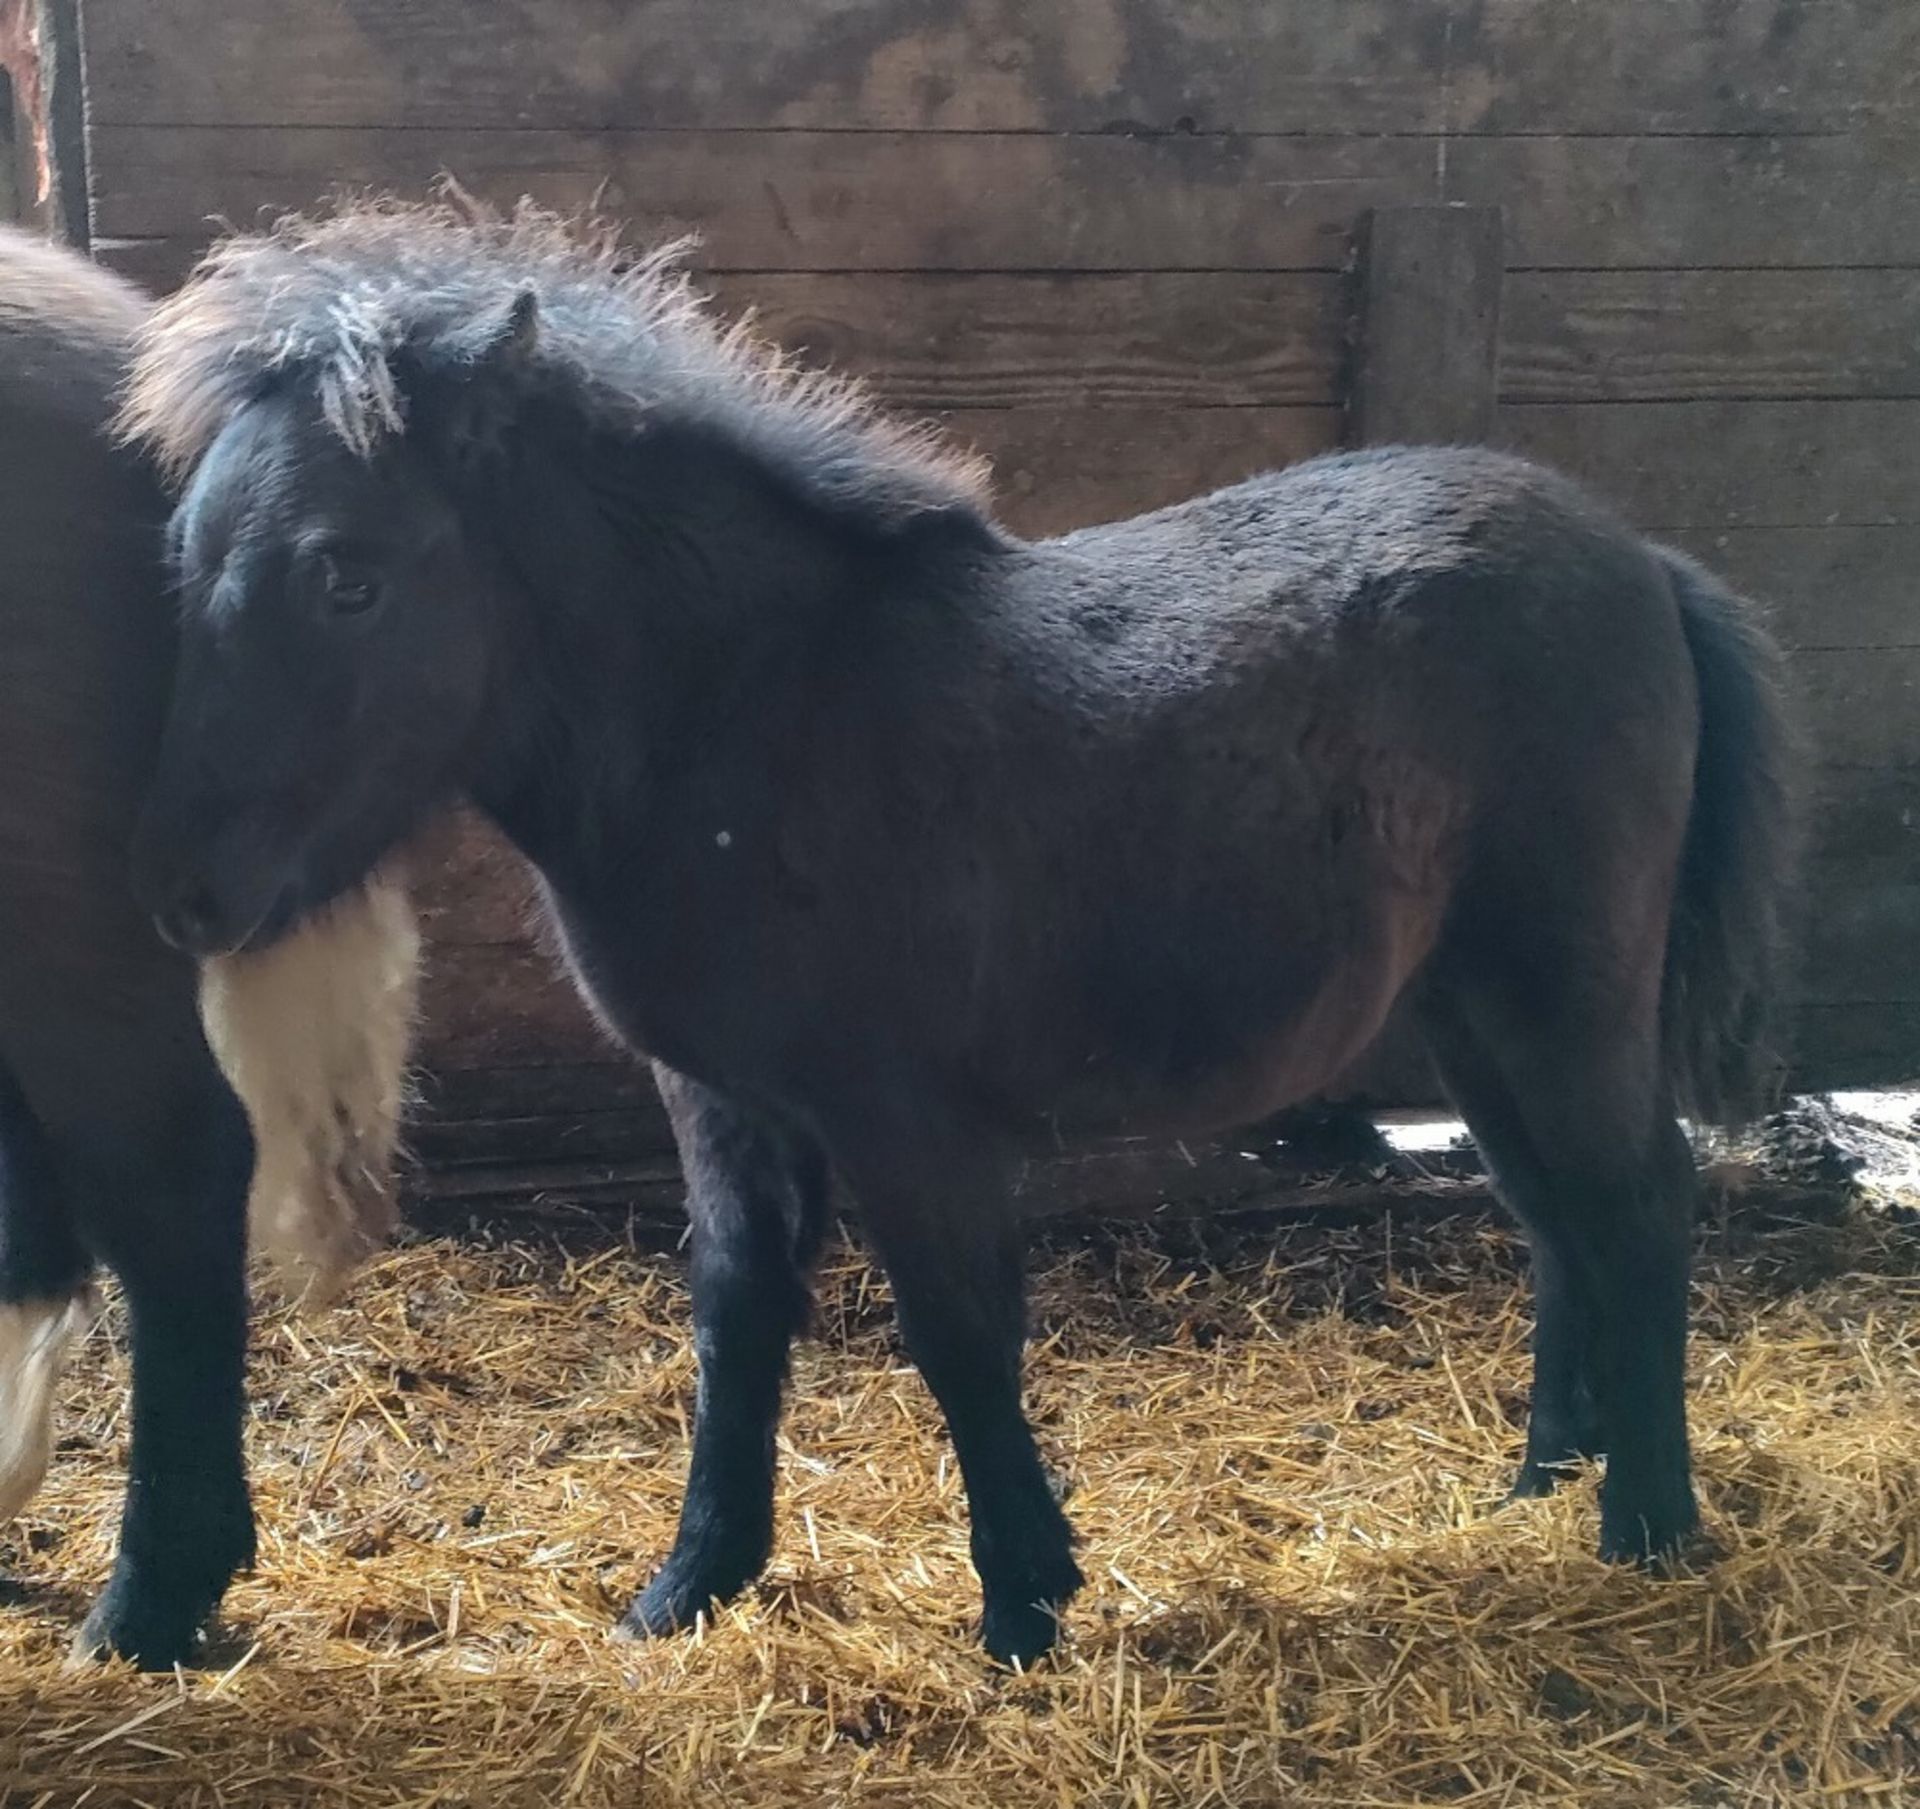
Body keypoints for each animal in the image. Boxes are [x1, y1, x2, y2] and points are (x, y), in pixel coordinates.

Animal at [123, 201, 1797, 1674]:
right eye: (186, 555)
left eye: (348, 574)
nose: (185, 894)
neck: (751, 720)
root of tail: (1642, 560)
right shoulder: (724, 1104)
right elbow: (736, 1322)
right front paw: (686, 1592)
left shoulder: (909, 1117)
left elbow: (960, 1336)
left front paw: (1023, 1610)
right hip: (1467, 1008)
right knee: (1552, 1211)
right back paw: (1540, 1484)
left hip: (1564, 988)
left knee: (1636, 1199)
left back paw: (1649, 1525)